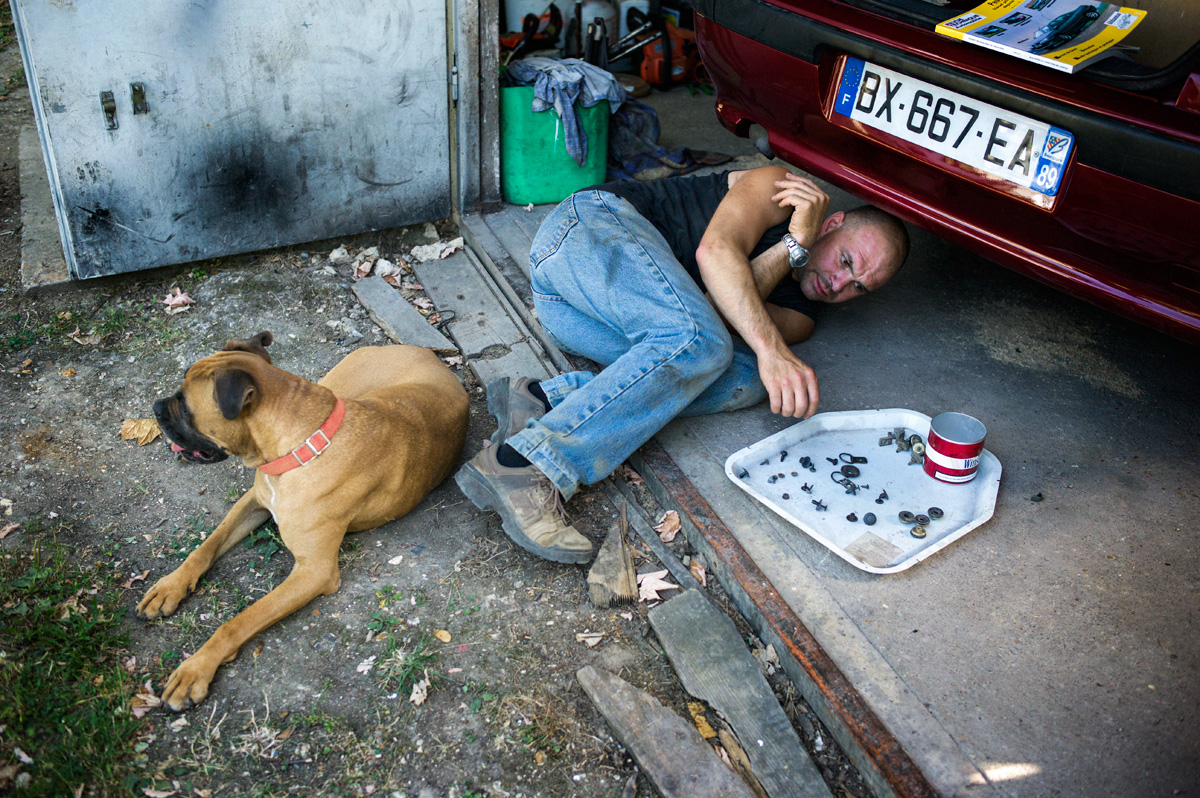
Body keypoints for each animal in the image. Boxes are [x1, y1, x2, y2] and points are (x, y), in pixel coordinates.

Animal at [140, 328, 468, 710]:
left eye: (185, 405)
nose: (156, 408)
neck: (298, 444)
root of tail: (426, 352)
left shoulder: (313, 572)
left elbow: (239, 621)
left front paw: (196, 669)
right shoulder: (254, 501)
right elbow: (205, 548)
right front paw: (170, 587)